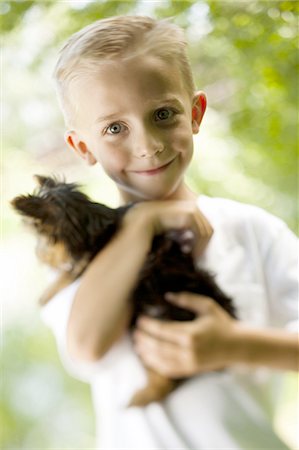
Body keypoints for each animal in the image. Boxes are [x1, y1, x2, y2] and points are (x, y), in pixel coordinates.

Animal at [11, 174, 237, 406]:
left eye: (40, 236)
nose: (39, 255)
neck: (85, 221)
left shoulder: (87, 258)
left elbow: (70, 272)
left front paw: (46, 293)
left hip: (154, 317)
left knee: (170, 376)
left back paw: (141, 397)